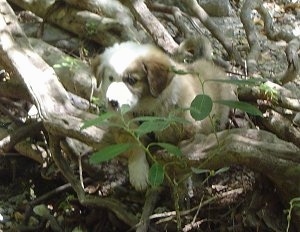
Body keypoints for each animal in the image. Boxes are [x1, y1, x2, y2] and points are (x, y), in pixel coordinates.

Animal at [92, 41, 236, 190]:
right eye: (110, 78)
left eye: (132, 80)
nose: (112, 102)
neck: (147, 110)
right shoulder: (125, 127)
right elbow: (134, 145)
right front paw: (139, 173)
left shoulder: (188, 127)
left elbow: (183, 155)